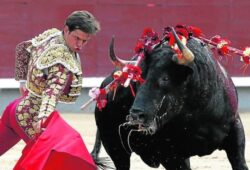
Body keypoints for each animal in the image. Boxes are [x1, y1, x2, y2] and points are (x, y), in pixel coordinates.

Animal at [90, 36, 248, 169]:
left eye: (165, 78)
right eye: (137, 79)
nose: (135, 115)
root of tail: (103, 89)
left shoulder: (236, 131)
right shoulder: (170, 155)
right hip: (115, 147)